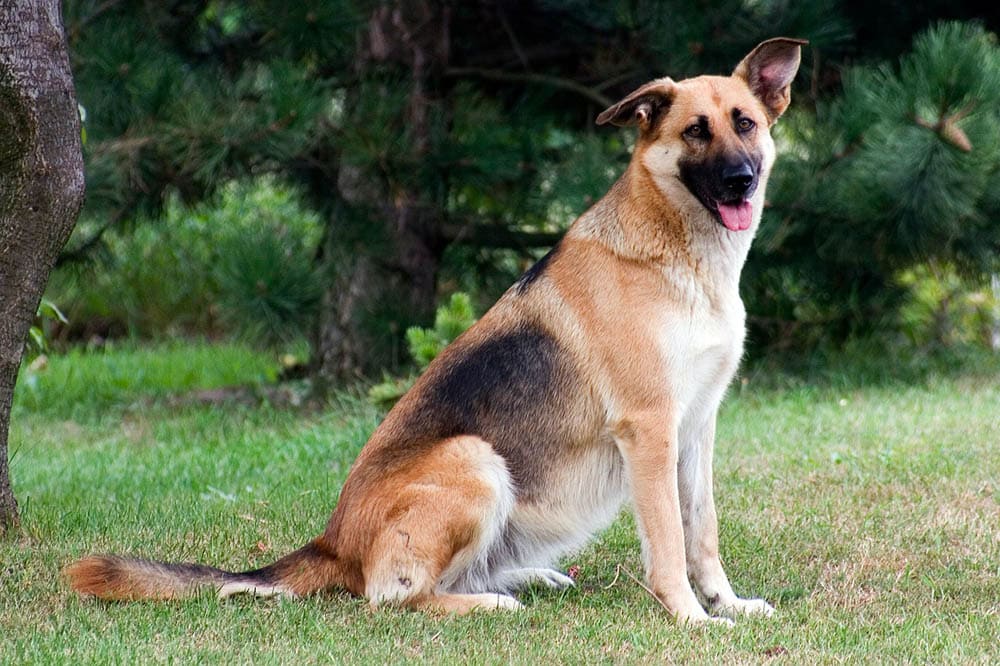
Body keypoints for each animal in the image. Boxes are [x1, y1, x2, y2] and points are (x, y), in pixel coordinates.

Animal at [66, 39, 804, 624]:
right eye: (694, 132)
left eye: (745, 124)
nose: (740, 181)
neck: (679, 256)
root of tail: (332, 543)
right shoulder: (650, 430)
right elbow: (671, 543)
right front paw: (691, 618)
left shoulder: (695, 428)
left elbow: (702, 531)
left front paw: (727, 603)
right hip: (475, 459)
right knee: (393, 596)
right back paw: (489, 602)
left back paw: (526, 577)